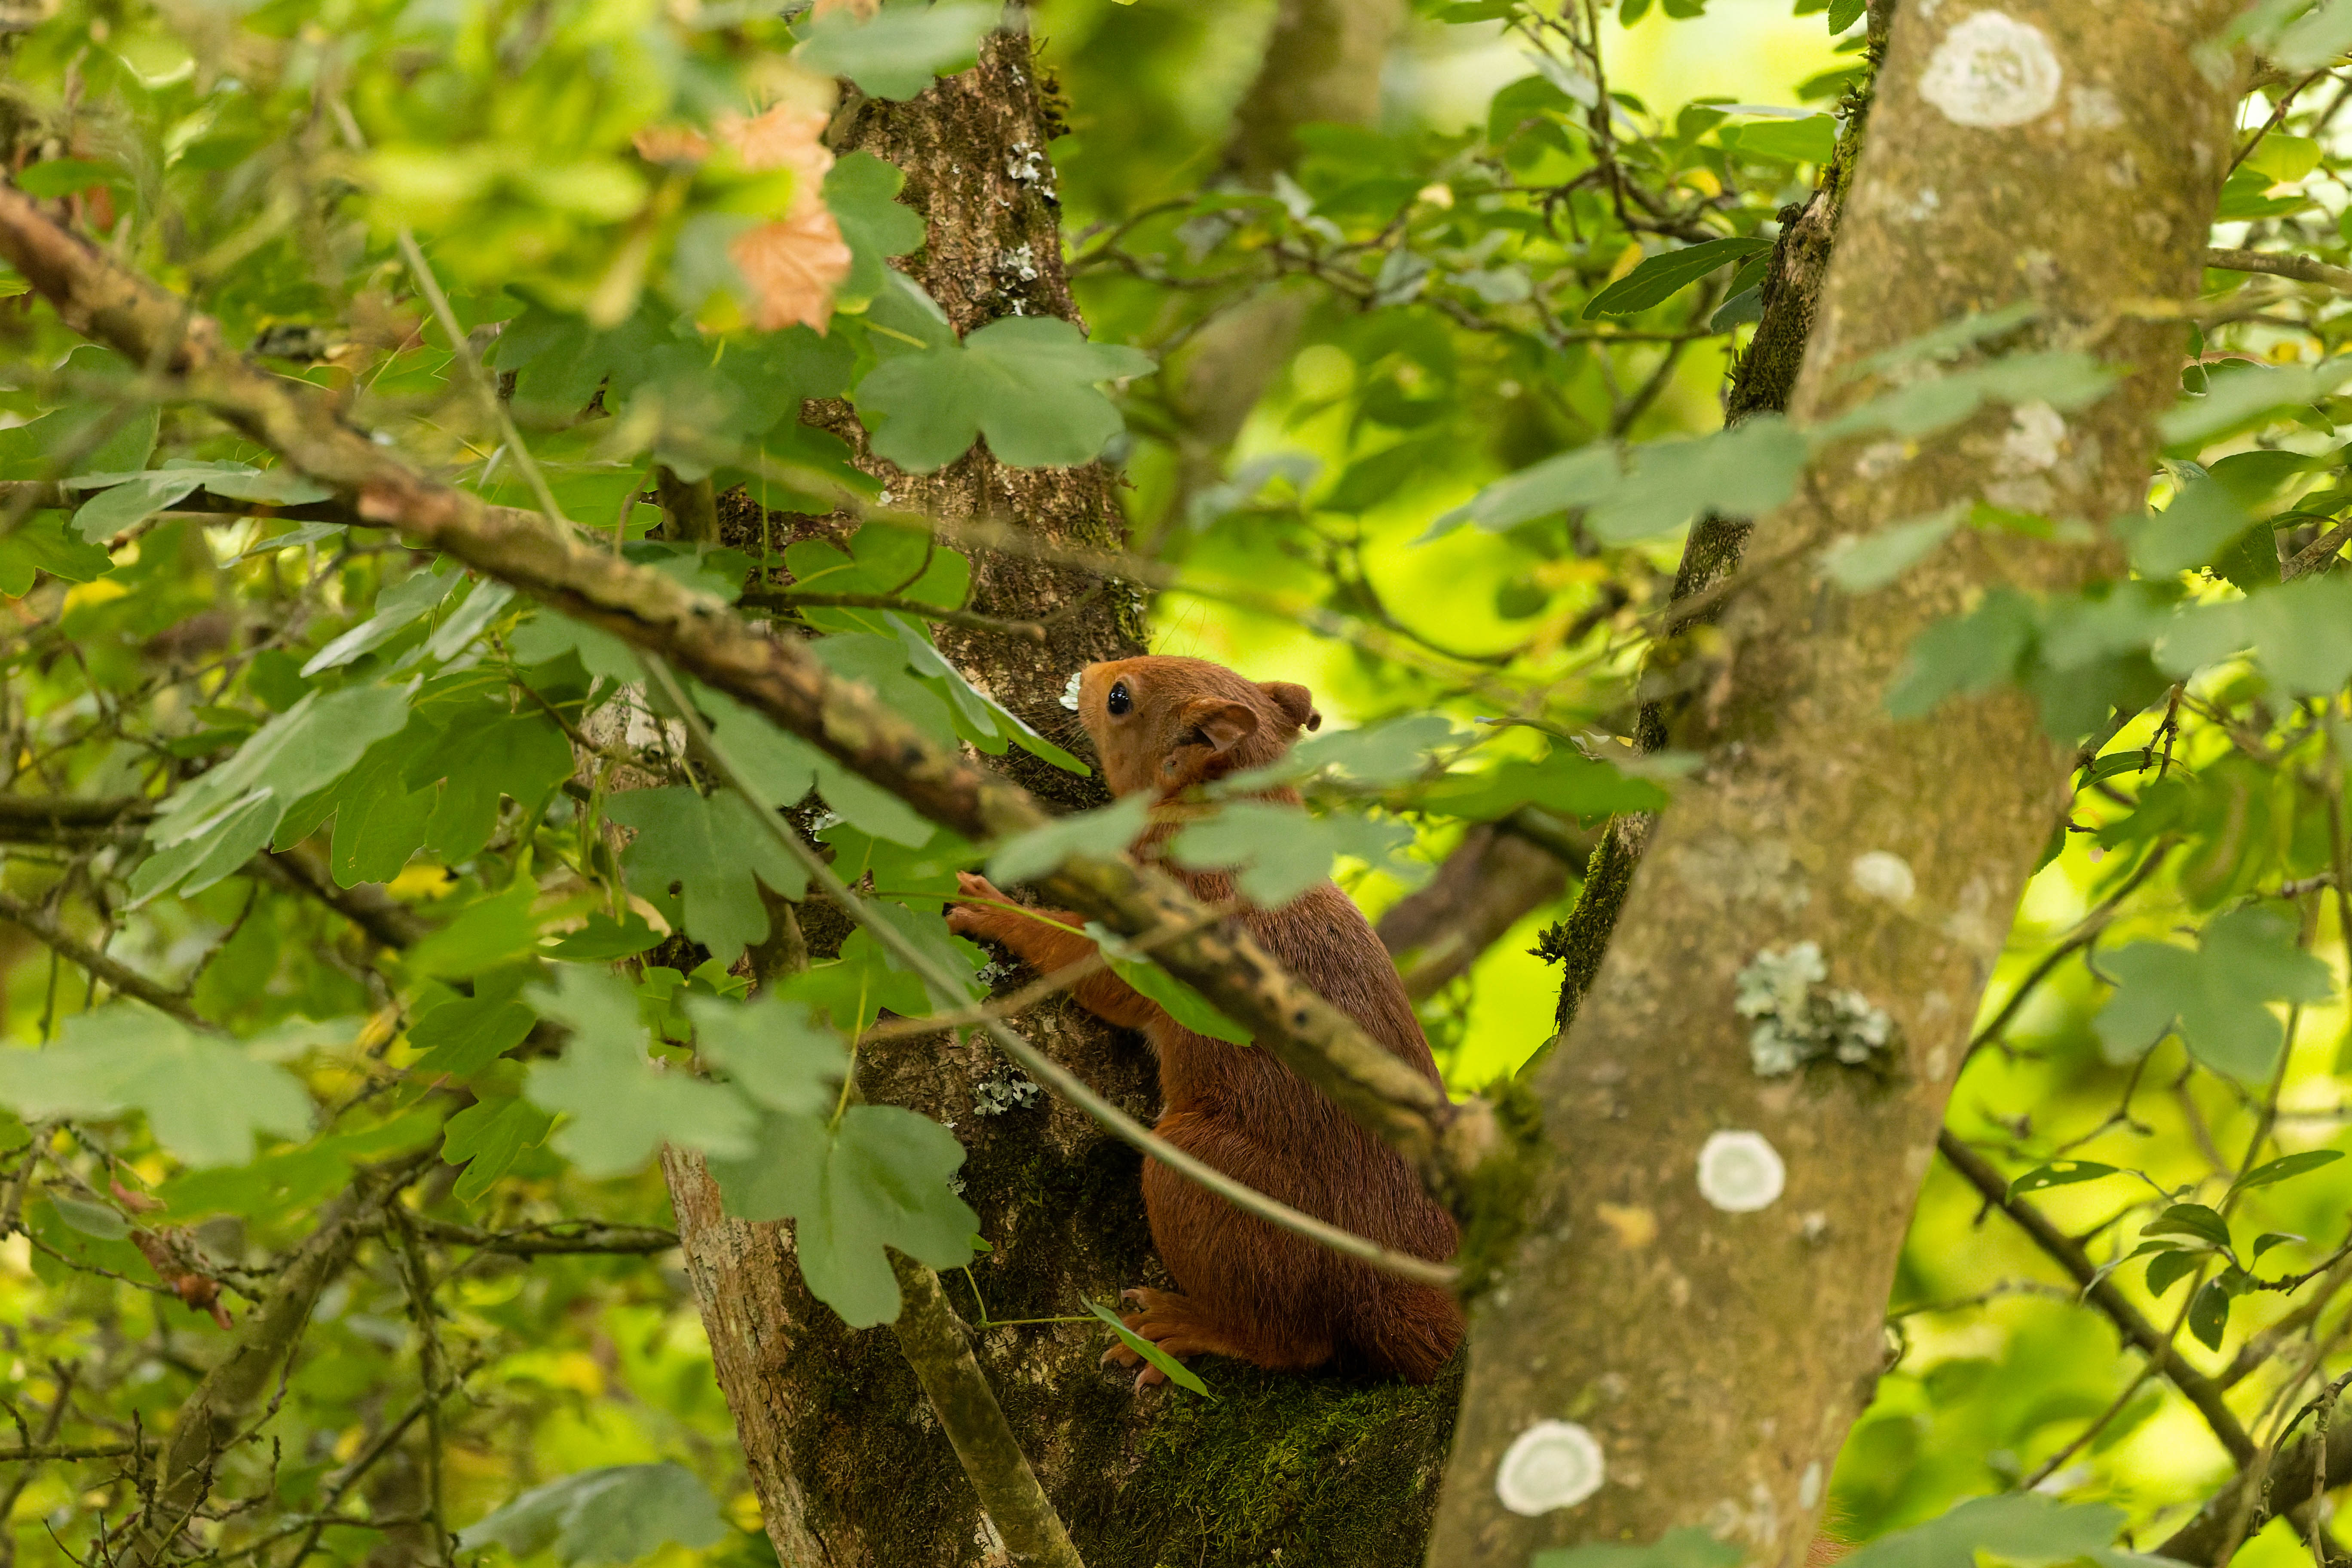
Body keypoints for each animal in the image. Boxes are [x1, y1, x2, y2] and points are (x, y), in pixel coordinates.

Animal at [947, 655, 1463, 1387]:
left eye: (1119, 699)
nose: (1090, 671)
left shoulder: (1164, 917)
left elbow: (1092, 971)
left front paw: (997, 910)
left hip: (1205, 1175)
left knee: (1292, 1342)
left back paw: (1186, 1326)